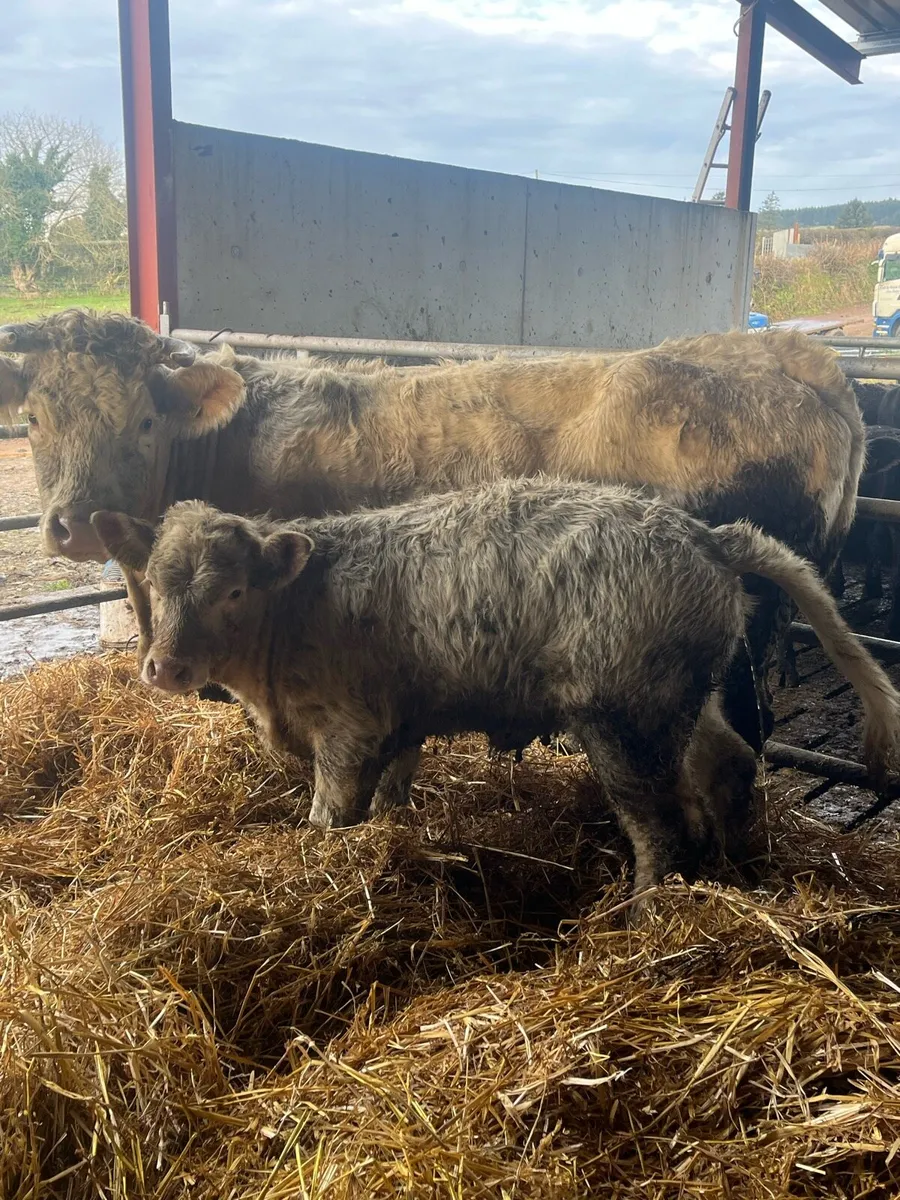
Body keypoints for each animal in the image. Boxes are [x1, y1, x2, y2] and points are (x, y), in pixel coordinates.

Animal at [90, 481, 900, 906]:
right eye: (154, 583)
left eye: (232, 591)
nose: (163, 668)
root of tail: (705, 534)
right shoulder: (400, 721)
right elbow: (391, 796)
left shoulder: (349, 730)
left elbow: (330, 815)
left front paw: (318, 862)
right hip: (678, 700)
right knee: (727, 766)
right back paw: (737, 870)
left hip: (619, 721)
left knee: (660, 823)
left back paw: (645, 913)